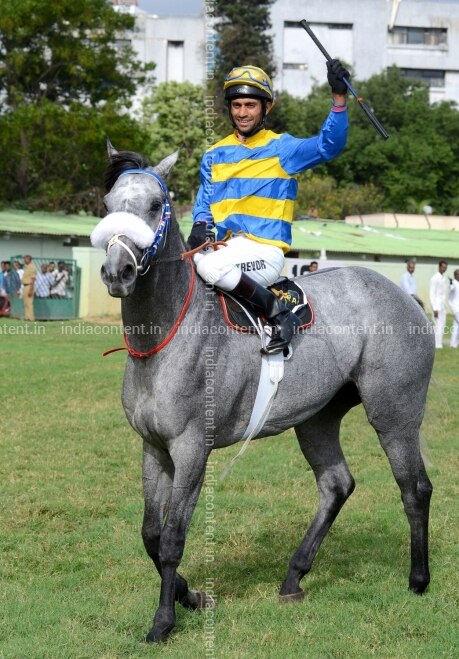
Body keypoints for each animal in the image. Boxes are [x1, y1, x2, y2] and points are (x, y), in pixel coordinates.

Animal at [91, 145, 434, 643]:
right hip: (316, 420)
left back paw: (419, 579)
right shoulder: (153, 447)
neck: (167, 335)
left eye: (155, 205)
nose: (117, 271)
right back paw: (294, 576)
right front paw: (191, 595)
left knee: (415, 487)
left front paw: (163, 621)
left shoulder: (192, 449)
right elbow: (151, 536)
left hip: (394, 414)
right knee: (337, 484)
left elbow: (173, 538)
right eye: (107, 203)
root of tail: (406, 298)